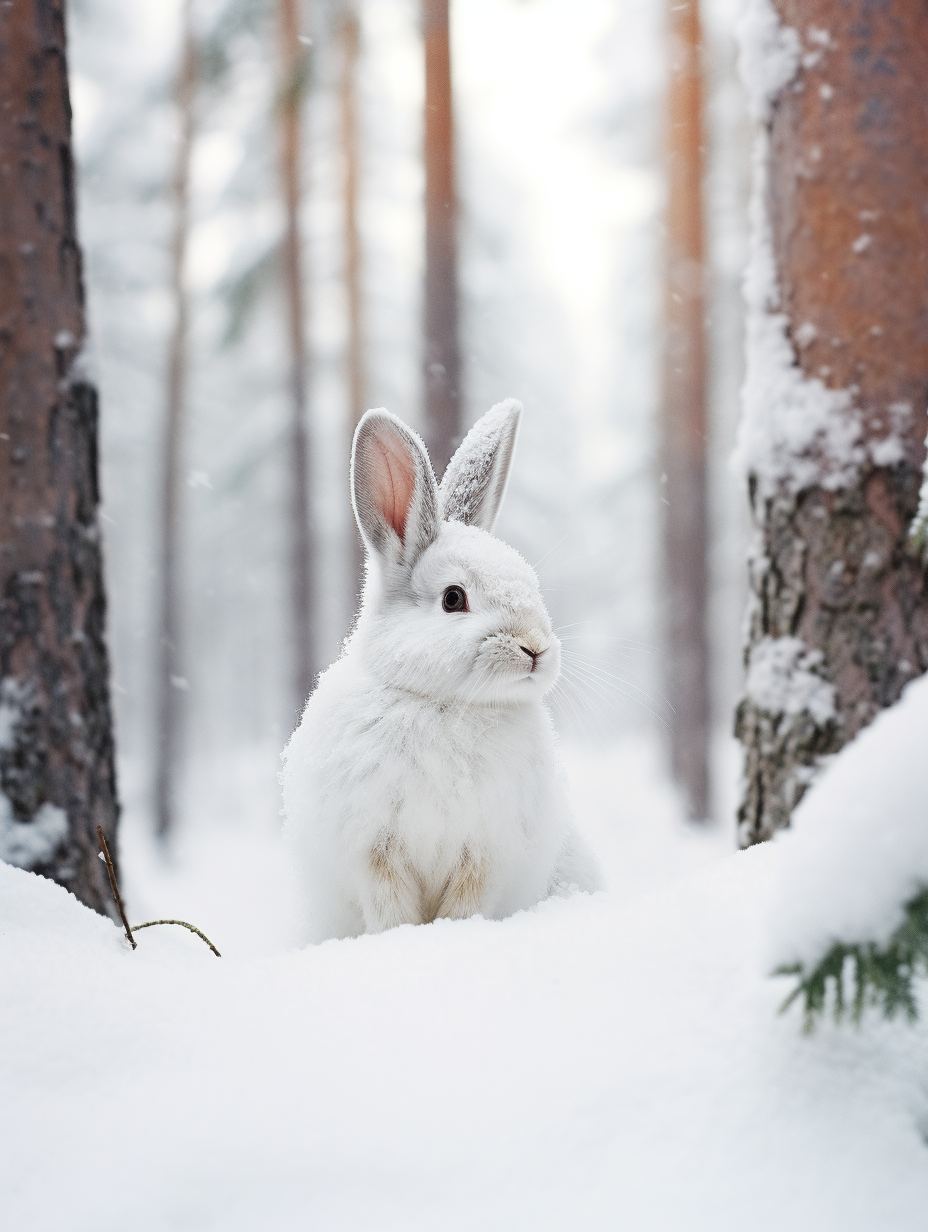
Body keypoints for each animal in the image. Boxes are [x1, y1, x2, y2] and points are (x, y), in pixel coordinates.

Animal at [278, 399, 603, 936]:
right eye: (454, 598)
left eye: (531, 585)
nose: (535, 648)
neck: (446, 703)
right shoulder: (376, 853)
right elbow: (390, 906)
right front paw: (401, 939)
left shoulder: (484, 852)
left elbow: (466, 900)